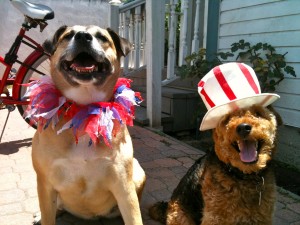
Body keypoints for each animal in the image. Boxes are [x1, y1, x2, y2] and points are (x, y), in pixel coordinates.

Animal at [29, 24, 145, 225]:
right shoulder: (45, 183)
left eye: (102, 37)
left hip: (138, 172)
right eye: (68, 36)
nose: (83, 37)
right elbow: (48, 216)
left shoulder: (124, 187)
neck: (84, 110)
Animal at [150, 105, 282, 225]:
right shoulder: (215, 217)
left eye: (258, 113)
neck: (245, 176)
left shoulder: (263, 217)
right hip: (180, 216)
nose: (243, 128)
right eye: (228, 118)